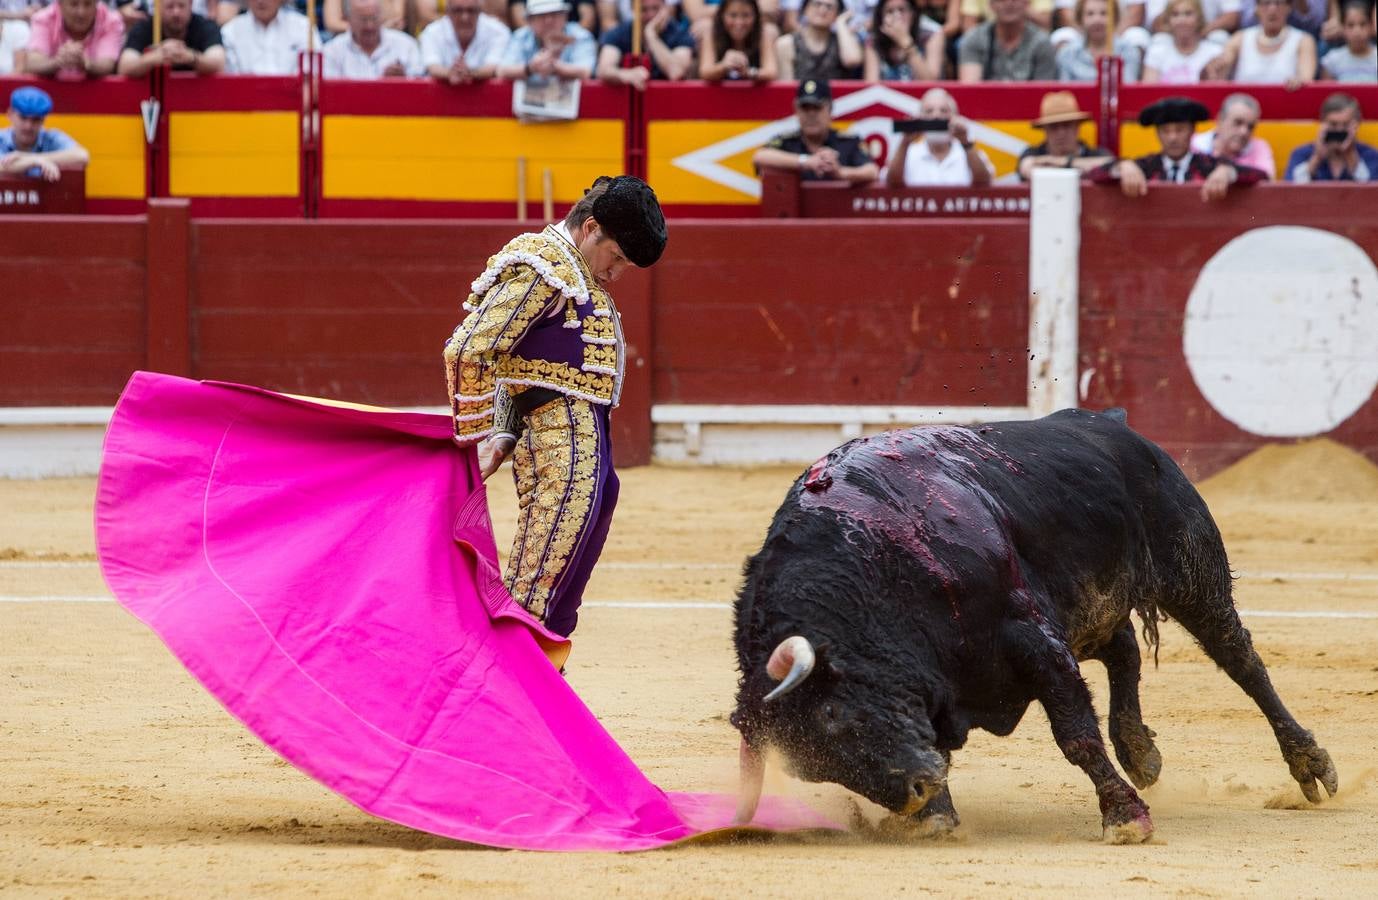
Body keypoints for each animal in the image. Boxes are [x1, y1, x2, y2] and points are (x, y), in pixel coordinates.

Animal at [733, 407, 1333, 843]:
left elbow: (1076, 735)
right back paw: (1141, 751)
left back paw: (1309, 764)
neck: (872, 564)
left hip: (1192, 572)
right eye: (813, 768)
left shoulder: (1031, 638)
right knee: (1124, 651)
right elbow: (942, 743)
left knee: (1240, 660)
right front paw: (936, 819)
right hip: (1088, 607)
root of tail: (1112, 423)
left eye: (835, 716)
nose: (914, 793)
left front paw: (1125, 819)